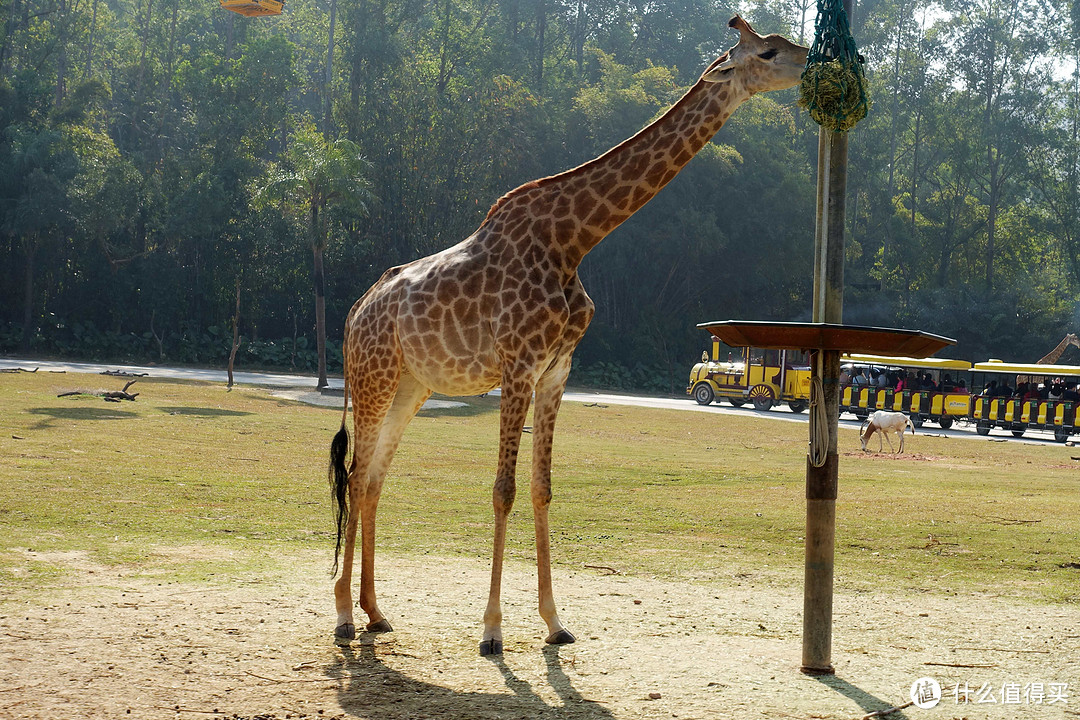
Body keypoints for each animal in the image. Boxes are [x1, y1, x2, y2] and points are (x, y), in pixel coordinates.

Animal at [328, 15, 812, 660]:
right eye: (768, 51)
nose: (815, 63)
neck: (573, 240)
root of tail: (354, 313)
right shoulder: (518, 363)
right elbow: (503, 489)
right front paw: (492, 631)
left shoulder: (557, 368)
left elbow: (542, 488)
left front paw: (555, 623)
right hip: (375, 377)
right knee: (357, 476)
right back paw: (342, 616)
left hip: (411, 386)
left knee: (374, 479)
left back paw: (376, 613)